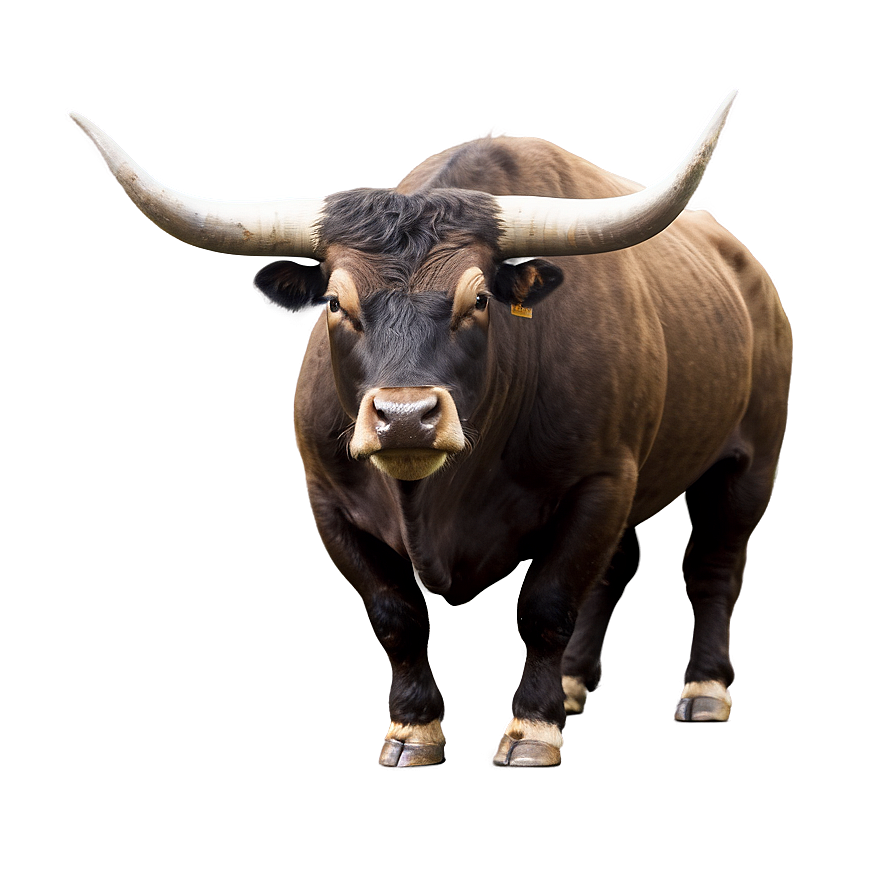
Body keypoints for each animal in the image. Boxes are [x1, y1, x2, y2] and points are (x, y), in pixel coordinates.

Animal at [69, 87, 792, 767]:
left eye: (480, 300)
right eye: (334, 301)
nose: (405, 418)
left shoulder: (602, 480)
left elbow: (548, 604)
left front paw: (532, 727)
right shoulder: (328, 500)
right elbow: (395, 615)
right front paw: (414, 729)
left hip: (749, 464)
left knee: (712, 564)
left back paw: (702, 688)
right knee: (620, 568)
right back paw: (577, 684)